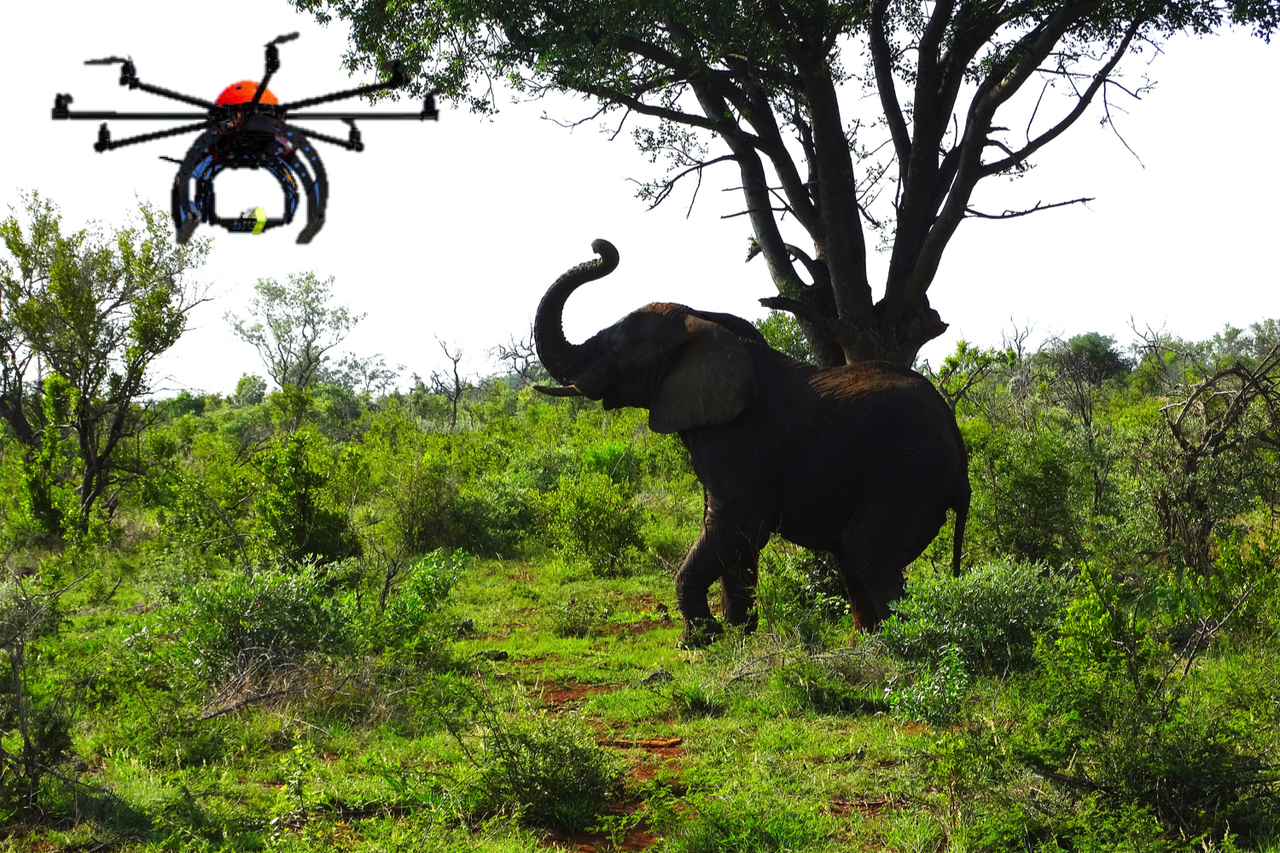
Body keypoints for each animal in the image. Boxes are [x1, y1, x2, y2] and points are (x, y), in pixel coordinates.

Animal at [534, 239, 970, 647]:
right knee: (852, 556)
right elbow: (731, 534)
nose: (601, 247)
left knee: (867, 550)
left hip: (910, 470)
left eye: (617, 349)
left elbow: (737, 523)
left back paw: (894, 650)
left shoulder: (741, 437)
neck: (699, 322)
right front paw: (736, 635)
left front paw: (698, 639)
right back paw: (863, 644)